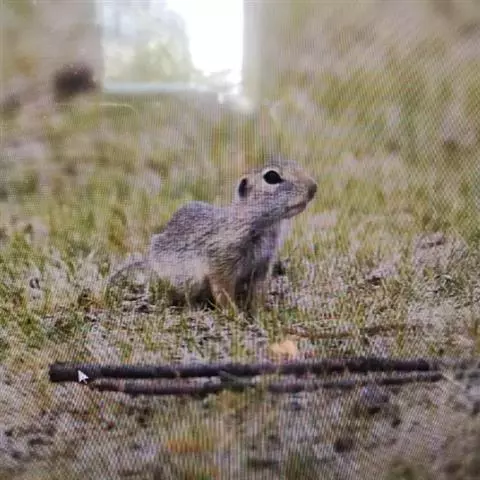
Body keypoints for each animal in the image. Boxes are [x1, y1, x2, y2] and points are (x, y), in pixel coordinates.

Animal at [107, 156, 317, 313]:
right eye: (272, 177)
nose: (313, 188)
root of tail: (149, 261)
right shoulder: (221, 262)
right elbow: (223, 291)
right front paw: (235, 315)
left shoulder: (262, 267)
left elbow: (258, 293)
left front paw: (260, 313)